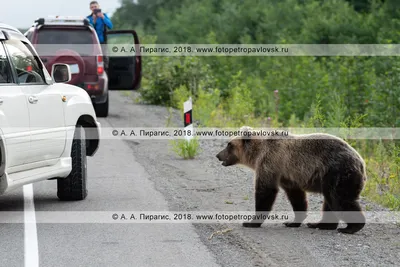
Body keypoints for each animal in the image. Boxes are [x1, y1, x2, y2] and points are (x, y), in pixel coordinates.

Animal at [217, 126, 368, 236]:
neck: (257, 153)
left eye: (229, 144)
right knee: (331, 201)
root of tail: (361, 162)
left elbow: (265, 191)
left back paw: (351, 227)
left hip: (337, 172)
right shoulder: (288, 176)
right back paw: (320, 224)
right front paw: (293, 222)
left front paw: (250, 222)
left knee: (339, 199)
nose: (218, 155)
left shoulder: (270, 162)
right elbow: (296, 197)